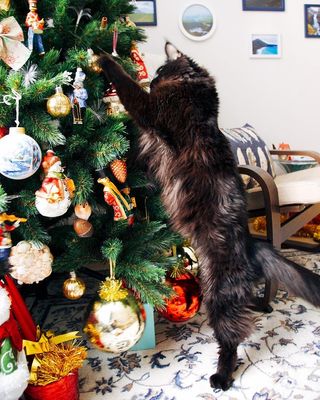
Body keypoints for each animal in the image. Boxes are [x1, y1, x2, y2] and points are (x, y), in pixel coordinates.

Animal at [99, 43, 320, 390]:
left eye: (160, 72)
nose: (153, 79)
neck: (195, 89)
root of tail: (253, 246)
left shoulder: (152, 111)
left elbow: (126, 85)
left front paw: (104, 58)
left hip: (219, 297)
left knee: (232, 339)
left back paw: (221, 377)